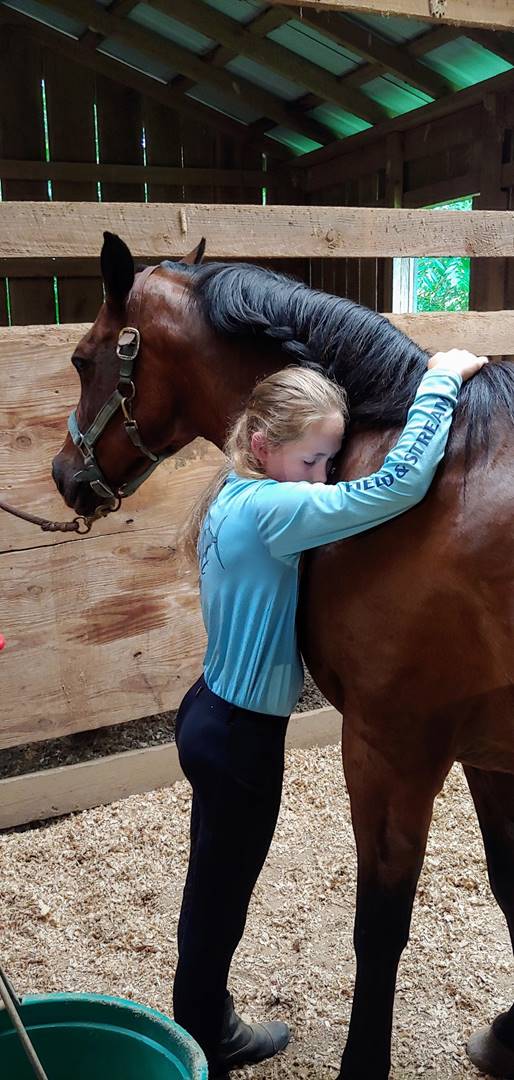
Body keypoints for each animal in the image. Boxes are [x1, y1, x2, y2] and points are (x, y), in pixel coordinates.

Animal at [52, 231, 514, 1080]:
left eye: (81, 357)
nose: (66, 477)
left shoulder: (391, 749)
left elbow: (381, 922)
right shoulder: (487, 750)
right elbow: (509, 883)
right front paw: (510, 1034)